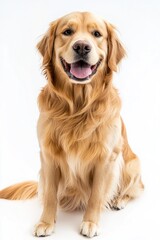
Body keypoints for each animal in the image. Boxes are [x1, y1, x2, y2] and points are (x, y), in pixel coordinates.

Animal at [0, 11, 144, 238]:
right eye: (67, 32)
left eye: (97, 34)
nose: (82, 46)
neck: (77, 109)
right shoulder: (48, 155)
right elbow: (50, 195)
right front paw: (46, 222)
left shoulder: (106, 158)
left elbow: (96, 195)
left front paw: (91, 222)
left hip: (132, 164)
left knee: (133, 189)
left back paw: (119, 200)